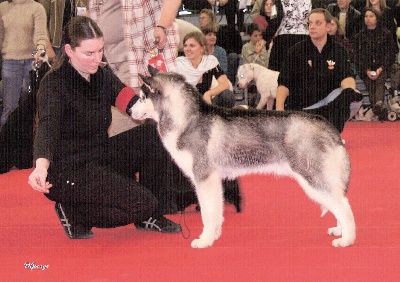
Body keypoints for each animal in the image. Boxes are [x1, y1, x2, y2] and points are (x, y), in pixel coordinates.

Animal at [130, 66, 356, 249]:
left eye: (141, 98)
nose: (130, 110)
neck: (186, 119)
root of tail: (326, 125)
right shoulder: (215, 180)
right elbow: (216, 212)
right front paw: (214, 235)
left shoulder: (204, 179)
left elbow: (207, 213)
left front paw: (204, 240)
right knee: (338, 202)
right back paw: (339, 230)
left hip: (313, 178)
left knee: (344, 207)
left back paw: (347, 239)